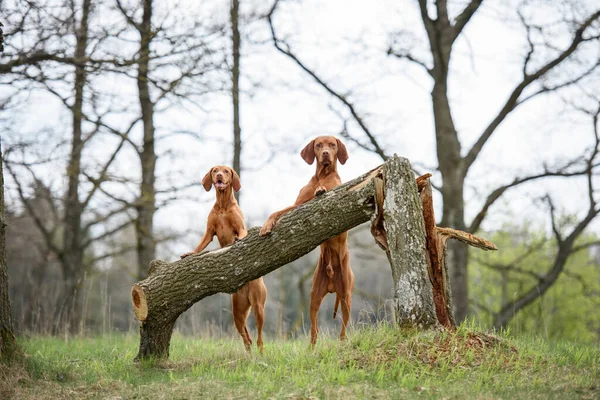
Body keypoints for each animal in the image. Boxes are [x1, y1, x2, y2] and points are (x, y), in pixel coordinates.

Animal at [180, 166, 268, 354]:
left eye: (226, 171)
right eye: (215, 170)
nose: (219, 175)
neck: (222, 205)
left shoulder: (241, 228)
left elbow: (241, 234)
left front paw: (237, 240)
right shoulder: (209, 232)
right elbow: (200, 246)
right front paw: (190, 253)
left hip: (258, 306)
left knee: (259, 337)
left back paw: (261, 352)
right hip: (238, 312)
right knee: (247, 338)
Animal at [258, 136, 352, 346]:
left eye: (332, 145)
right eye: (319, 145)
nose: (325, 153)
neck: (322, 176)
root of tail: (332, 285)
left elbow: (325, 191)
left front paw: (321, 190)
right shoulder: (297, 205)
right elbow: (276, 212)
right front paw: (266, 227)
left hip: (346, 296)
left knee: (344, 329)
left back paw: (342, 343)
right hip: (314, 298)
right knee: (314, 329)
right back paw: (312, 347)